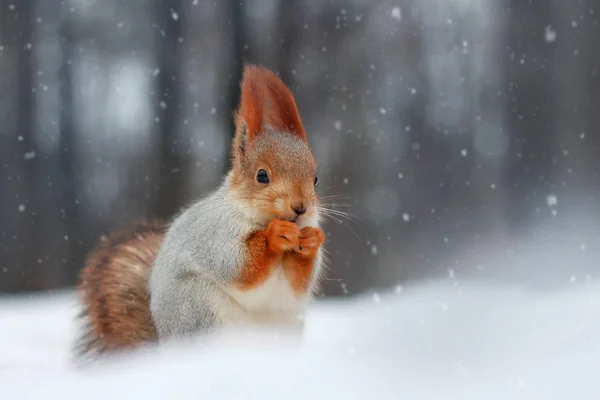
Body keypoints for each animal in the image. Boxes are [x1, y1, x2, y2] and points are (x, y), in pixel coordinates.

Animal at [77, 65, 326, 356]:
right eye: (262, 175)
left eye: (315, 179)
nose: (300, 207)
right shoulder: (214, 235)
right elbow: (238, 264)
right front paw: (275, 235)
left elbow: (298, 282)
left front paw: (312, 241)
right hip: (200, 310)